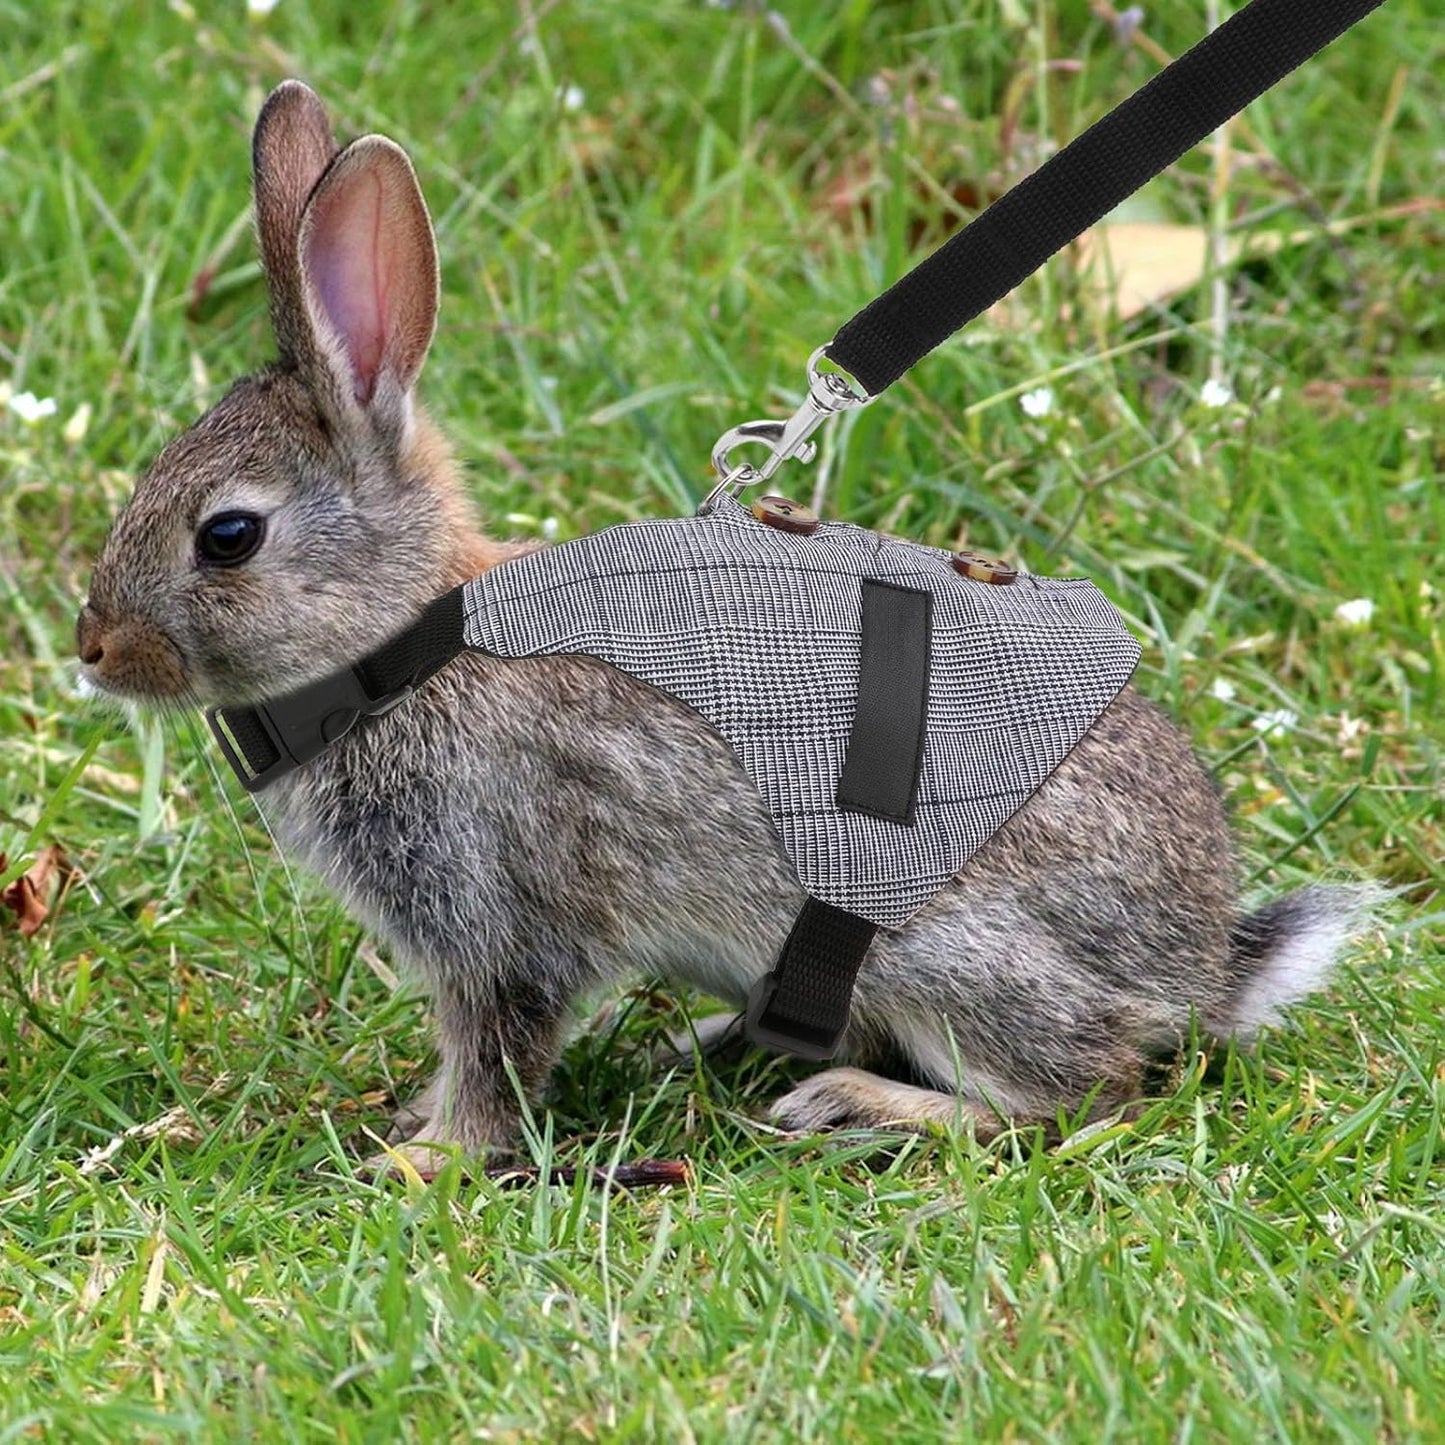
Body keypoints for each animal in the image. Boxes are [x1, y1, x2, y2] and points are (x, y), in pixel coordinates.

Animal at [78, 81, 1372, 1170]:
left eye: (227, 536)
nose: (94, 647)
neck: (405, 649)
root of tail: (1202, 960)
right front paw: (411, 1129)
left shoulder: (504, 914)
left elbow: (499, 1051)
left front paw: (422, 1163)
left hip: (950, 952)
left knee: (1083, 1085)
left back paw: (854, 1100)